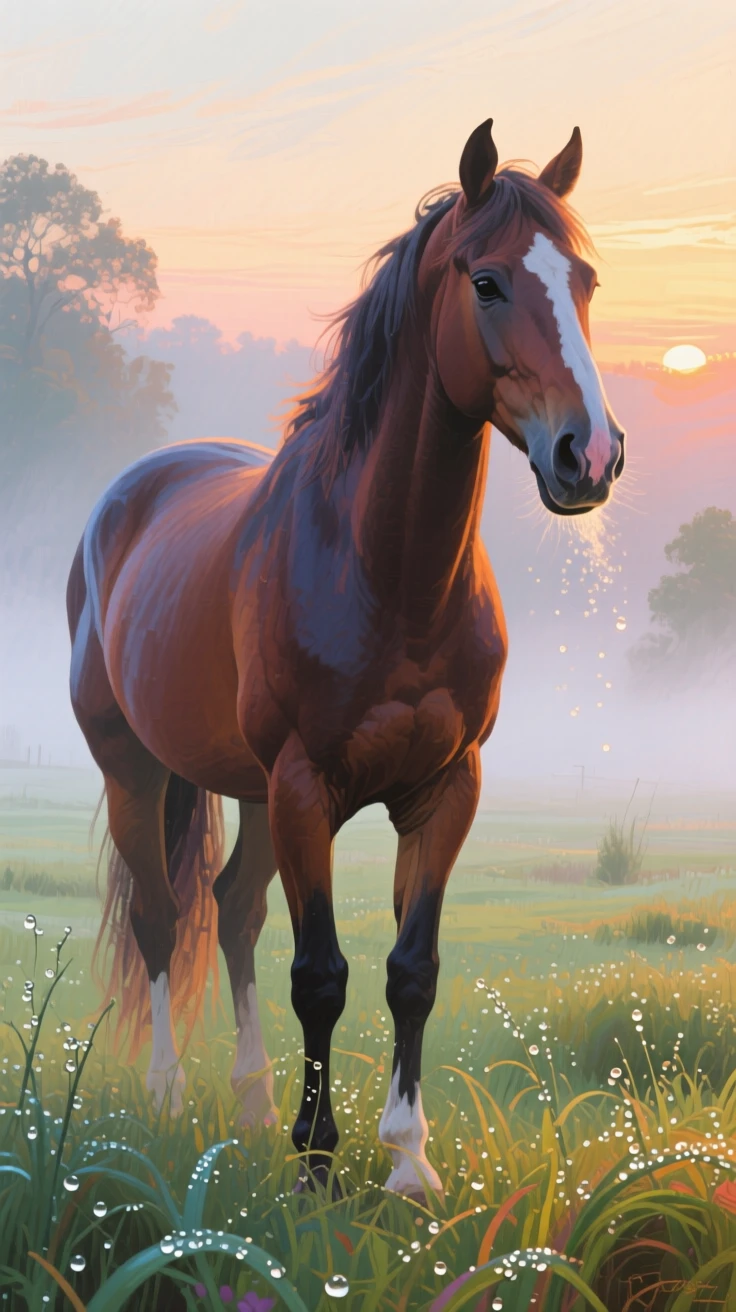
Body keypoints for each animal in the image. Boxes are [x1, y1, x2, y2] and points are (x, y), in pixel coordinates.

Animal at [67, 118, 625, 1202]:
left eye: (582, 278)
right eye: (486, 282)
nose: (590, 455)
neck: (386, 574)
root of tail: (130, 494)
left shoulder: (445, 788)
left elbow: (412, 970)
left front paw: (408, 1165)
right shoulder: (304, 786)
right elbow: (320, 975)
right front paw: (316, 1166)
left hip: (239, 786)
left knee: (232, 909)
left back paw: (246, 1107)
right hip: (135, 770)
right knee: (162, 918)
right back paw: (166, 1098)